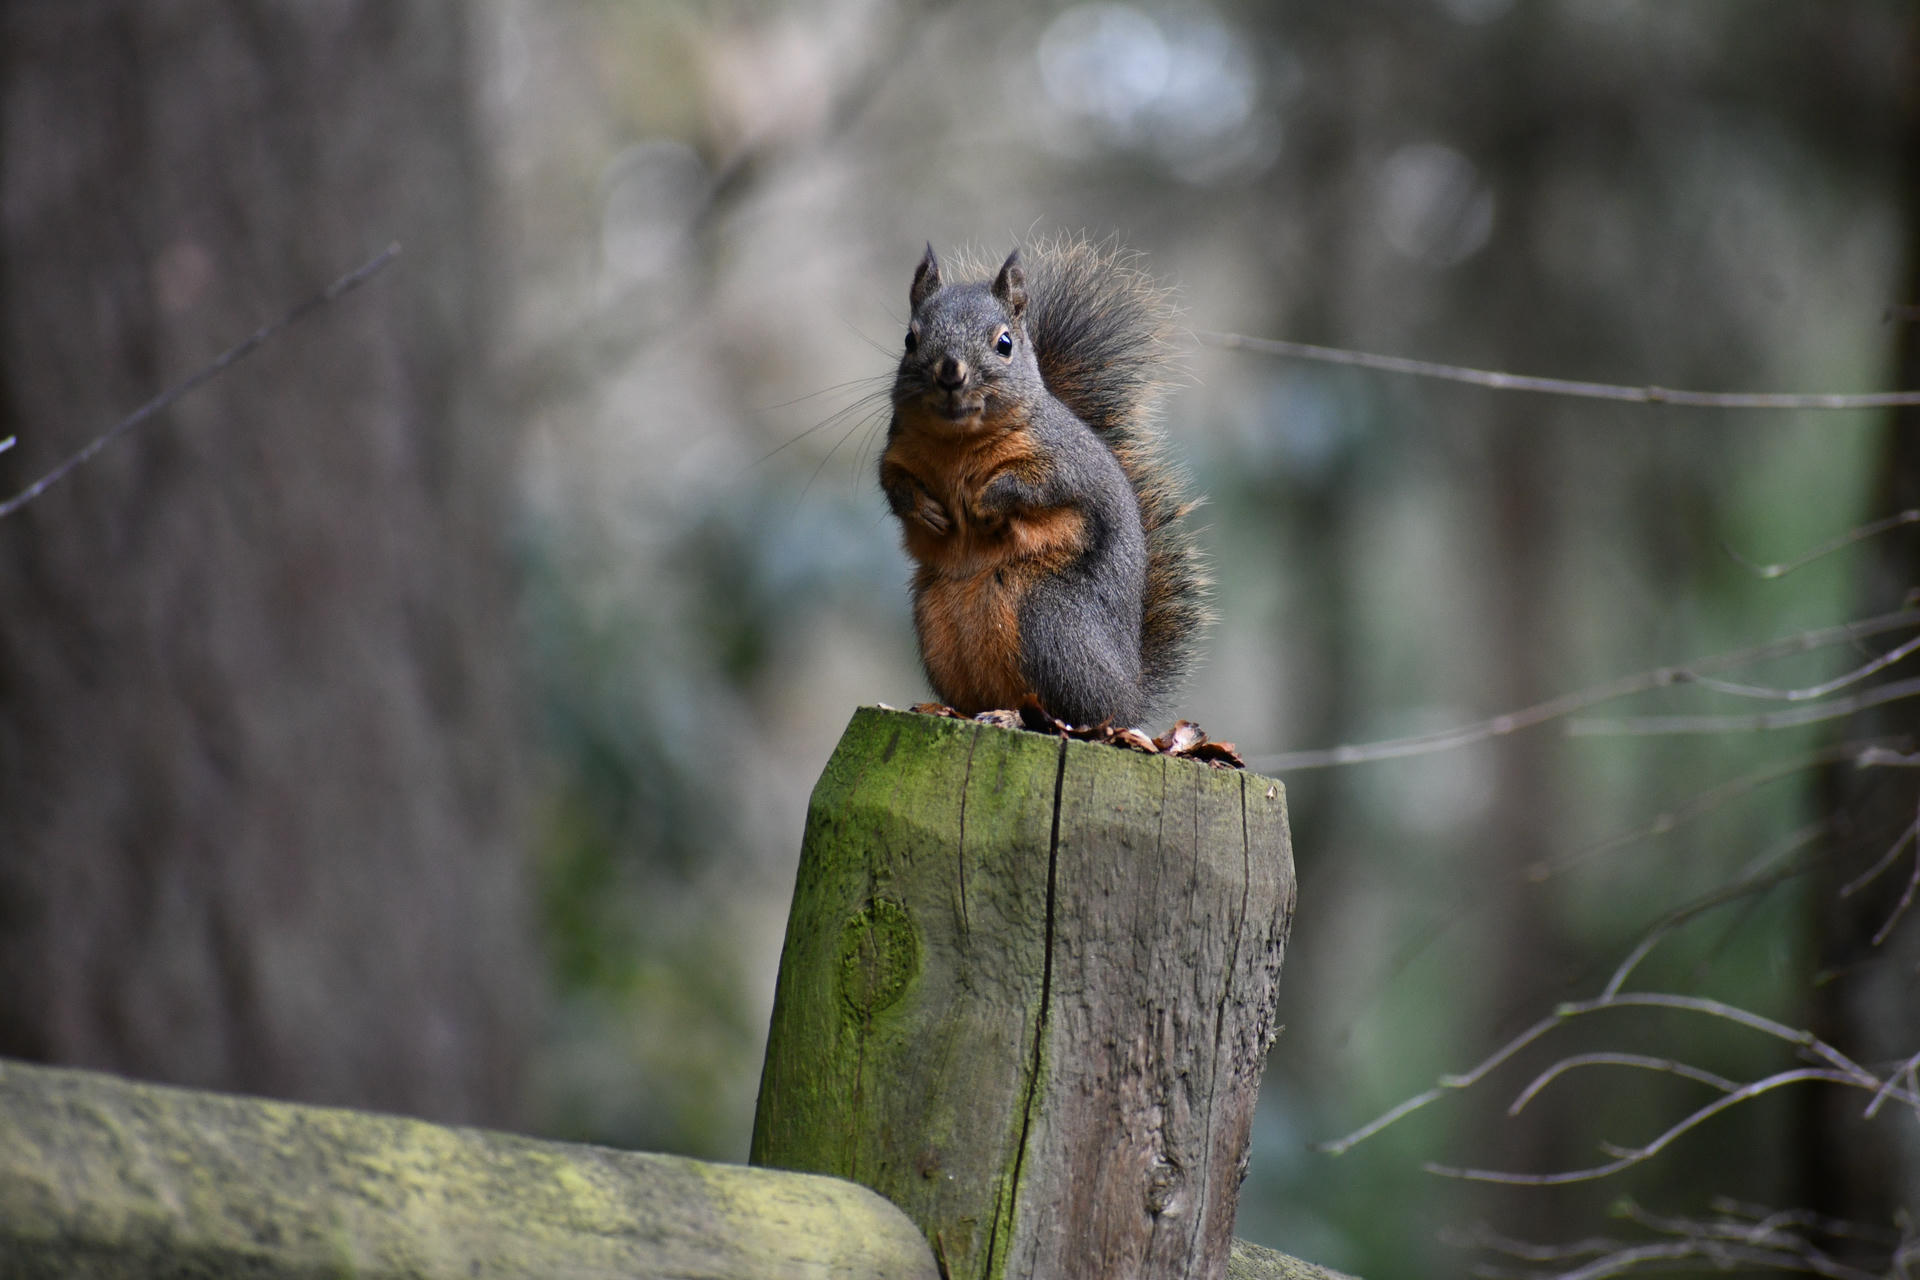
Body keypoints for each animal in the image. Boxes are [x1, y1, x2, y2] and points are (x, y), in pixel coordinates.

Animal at [878, 237, 1209, 728]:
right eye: (909, 339)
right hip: (934, 622)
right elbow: (893, 484)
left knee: (1077, 712)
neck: (958, 441)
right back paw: (957, 710)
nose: (950, 371)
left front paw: (986, 501)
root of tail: (1129, 696)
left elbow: (1038, 487)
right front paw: (926, 510)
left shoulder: (1065, 461)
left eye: (1004, 343)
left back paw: (1023, 718)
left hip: (1046, 621)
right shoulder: (896, 450)